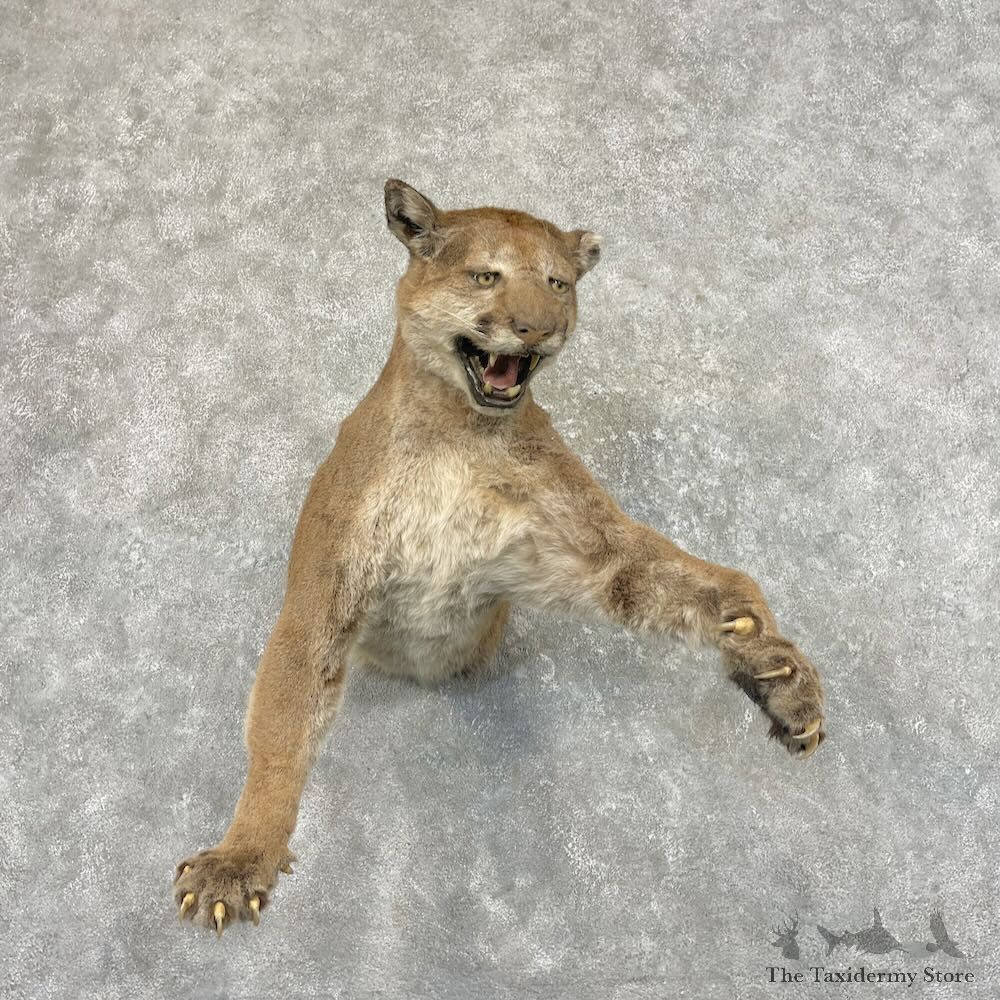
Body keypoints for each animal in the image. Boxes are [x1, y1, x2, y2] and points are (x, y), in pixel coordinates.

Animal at [174, 180, 825, 934]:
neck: (460, 432)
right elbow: (281, 729)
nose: (537, 328)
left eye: (558, 284)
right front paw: (239, 858)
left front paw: (777, 674)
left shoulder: (578, 550)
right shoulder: (322, 600)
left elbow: (705, 583)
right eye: (486, 275)